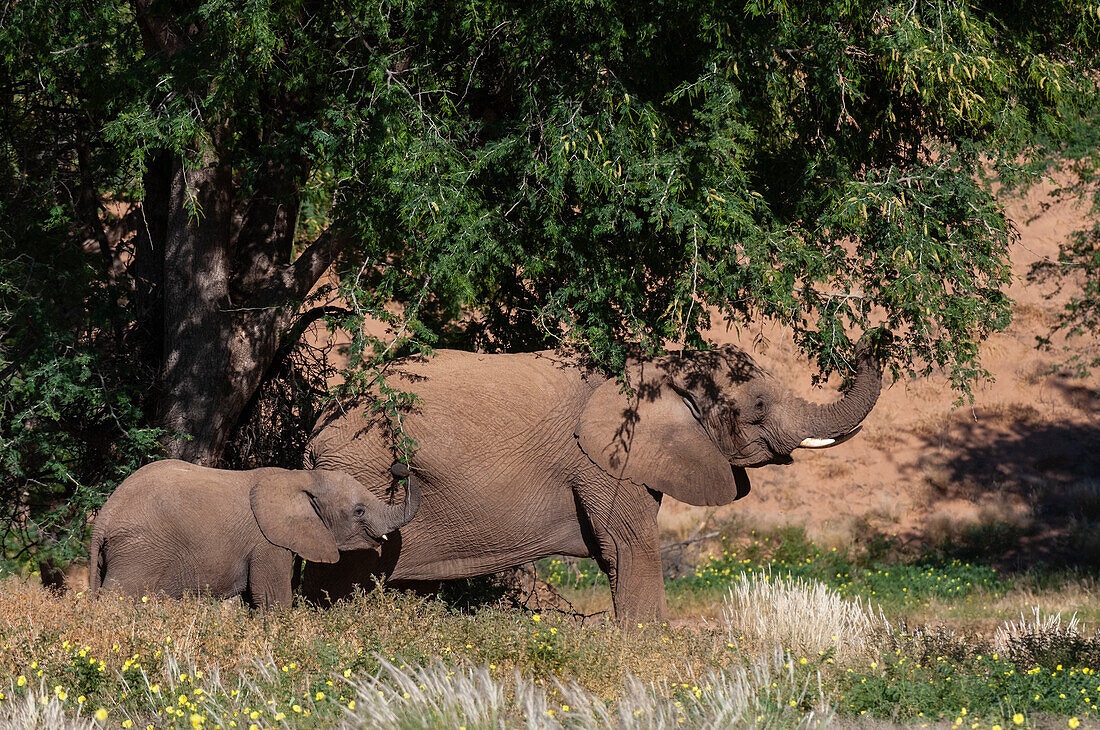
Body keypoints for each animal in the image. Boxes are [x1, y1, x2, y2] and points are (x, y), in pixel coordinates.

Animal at [85, 459, 418, 606]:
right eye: (359, 511)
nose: (401, 467)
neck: (300, 477)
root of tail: (103, 517)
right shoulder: (267, 543)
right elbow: (272, 600)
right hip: (139, 551)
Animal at [303, 343, 884, 620]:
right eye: (758, 407)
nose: (869, 340)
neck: (660, 369)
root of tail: (321, 421)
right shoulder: (605, 461)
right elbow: (629, 545)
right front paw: (645, 649)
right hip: (361, 466)